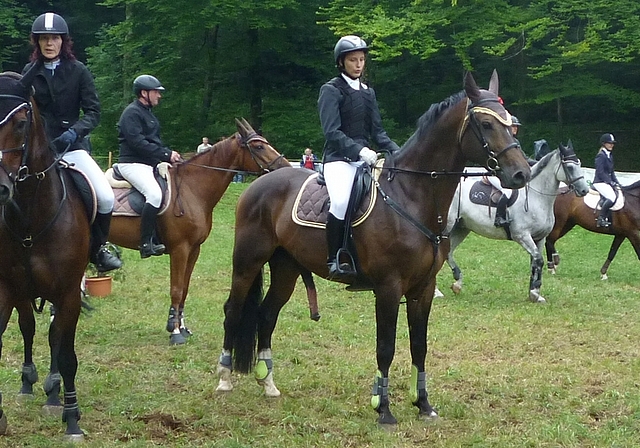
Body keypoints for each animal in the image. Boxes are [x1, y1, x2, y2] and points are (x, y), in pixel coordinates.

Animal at [110, 117, 290, 344]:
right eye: (258, 146)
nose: (286, 167)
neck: (192, 189)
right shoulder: (180, 249)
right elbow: (176, 289)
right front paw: (175, 332)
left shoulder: (194, 249)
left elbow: (185, 288)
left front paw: (181, 327)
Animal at [215, 72, 528, 426]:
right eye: (487, 124)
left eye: (511, 125)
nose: (522, 173)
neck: (412, 195)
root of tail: (259, 182)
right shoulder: (388, 288)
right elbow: (386, 347)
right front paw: (384, 408)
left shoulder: (423, 288)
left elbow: (419, 346)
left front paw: (423, 404)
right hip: (247, 262)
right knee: (233, 309)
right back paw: (225, 378)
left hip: (286, 268)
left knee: (267, 314)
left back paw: (268, 383)